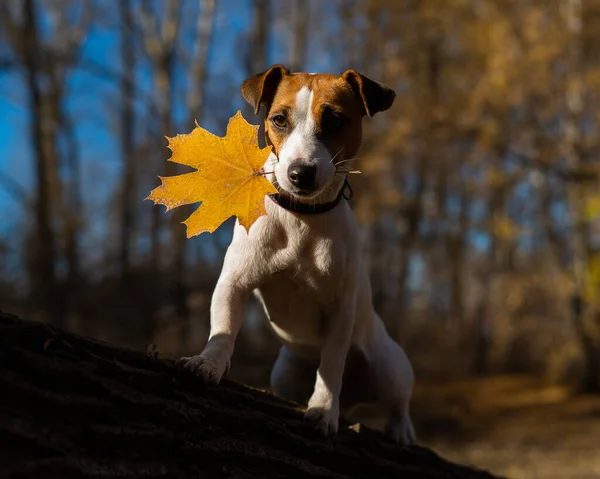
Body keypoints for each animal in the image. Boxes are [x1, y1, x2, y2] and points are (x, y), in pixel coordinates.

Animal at [180, 64, 414, 446]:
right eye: (279, 119)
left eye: (335, 120)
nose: (299, 173)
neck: (302, 217)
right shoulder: (235, 281)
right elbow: (224, 328)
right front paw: (209, 362)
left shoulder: (340, 309)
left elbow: (331, 364)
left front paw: (324, 409)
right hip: (285, 374)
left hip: (388, 365)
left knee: (398, 399)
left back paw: (399, 428)